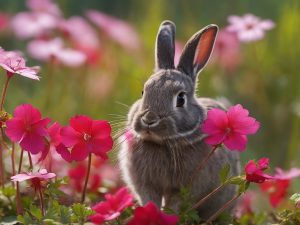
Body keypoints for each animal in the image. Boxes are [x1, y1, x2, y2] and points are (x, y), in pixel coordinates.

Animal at [118, 20, 240, 221]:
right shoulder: (145, 184)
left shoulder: (186, 187)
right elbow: (149, 200)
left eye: (181, 99)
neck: (163, 143)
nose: (149, 120)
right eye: (143, 92)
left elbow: (174, 204)